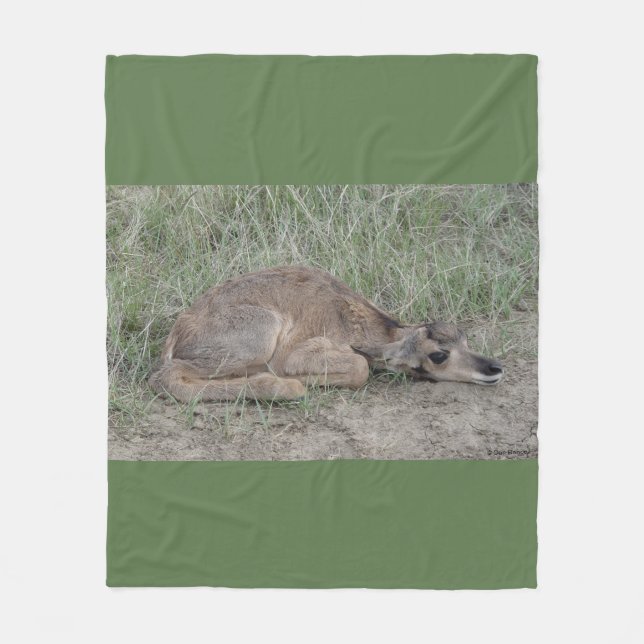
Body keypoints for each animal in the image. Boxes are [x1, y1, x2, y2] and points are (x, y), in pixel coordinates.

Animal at [149, 266, 503, 402]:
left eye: (464, 338)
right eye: (439, 355)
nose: (494, 368)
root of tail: (178, 332)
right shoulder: (297, 354)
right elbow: (360, 367)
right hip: (260, 334)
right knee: (167, 376)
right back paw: (285, 386)